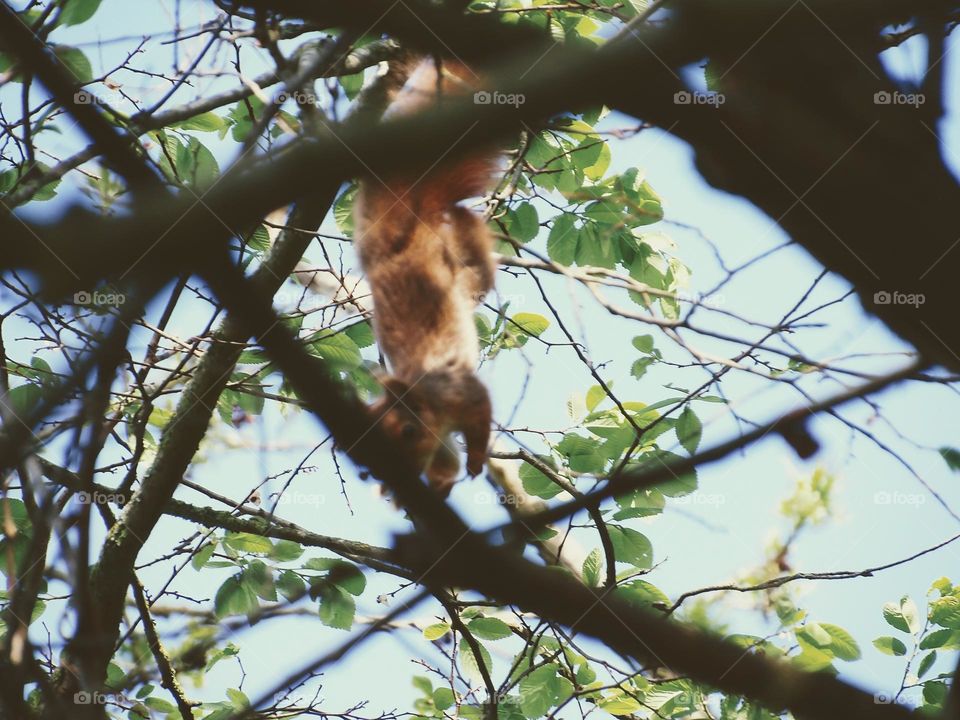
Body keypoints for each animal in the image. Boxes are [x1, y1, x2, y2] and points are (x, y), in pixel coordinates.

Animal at [353, 58, 497, 496]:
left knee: (479, 266)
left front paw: (476, 460)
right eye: (367, 463)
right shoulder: (442, 439)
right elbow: (445, 461)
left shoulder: (459, 392)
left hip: (459, 272)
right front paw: (437, 484)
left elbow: (482, 410)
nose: (392, 483)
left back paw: (466, 218)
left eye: (407, 432)